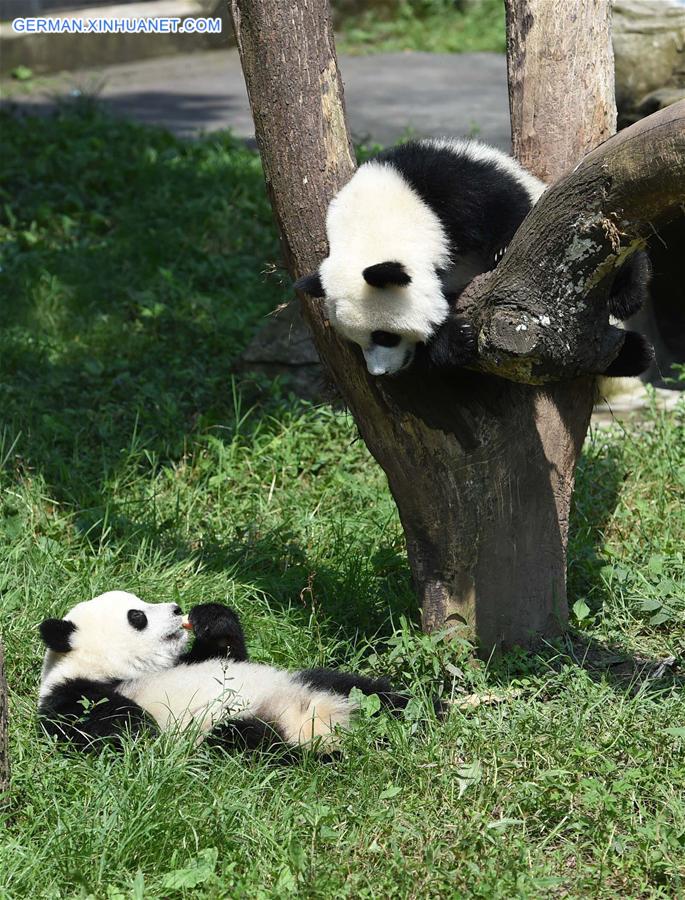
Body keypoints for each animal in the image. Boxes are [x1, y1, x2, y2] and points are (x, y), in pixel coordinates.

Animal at [37, 596, 408, 756]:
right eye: (137, 616)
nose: (176, 610)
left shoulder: (197, 661)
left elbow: (227, 653)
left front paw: (209, 617)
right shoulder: (69, 694)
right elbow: (106, 728)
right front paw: (139, 726)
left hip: (313, 683)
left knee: (369, 691)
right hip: (232, 729)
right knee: (244, 739)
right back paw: (317, 756)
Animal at [296, 137, 652, 380]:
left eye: (384, 336)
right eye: (356, 342)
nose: (380, 373)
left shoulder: (449, 180)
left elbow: (508, 207)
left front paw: (502, 250)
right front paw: (456, 338)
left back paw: (628, 309)